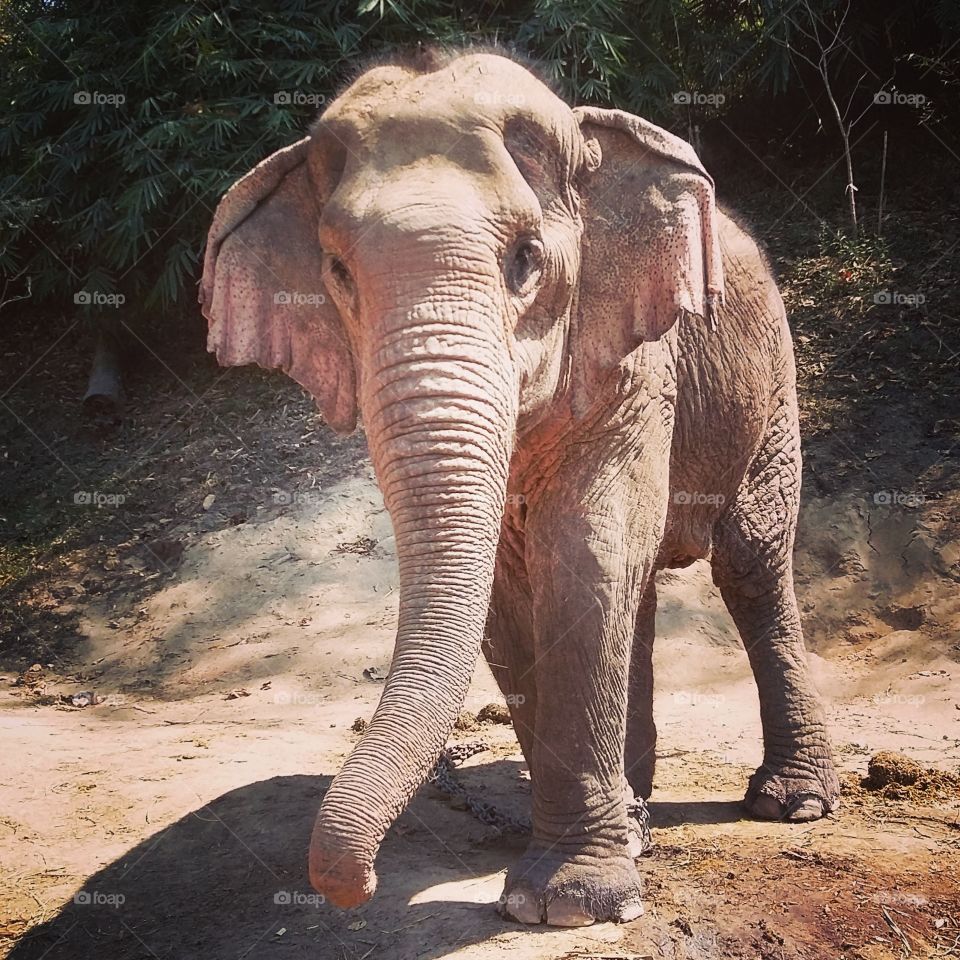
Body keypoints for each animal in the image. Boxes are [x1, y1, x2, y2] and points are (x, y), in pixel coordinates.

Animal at [200, 48, 840, 927]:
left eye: (527, 259)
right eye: (336, 272)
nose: (352, 886)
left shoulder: (635, 359)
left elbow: (586, 551)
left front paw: (570, 904)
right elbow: (513, 586)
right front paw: (600, 853)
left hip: (771, 375)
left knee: (750, 560)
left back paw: (792, 804)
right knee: (642, 586)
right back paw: (639, 809)